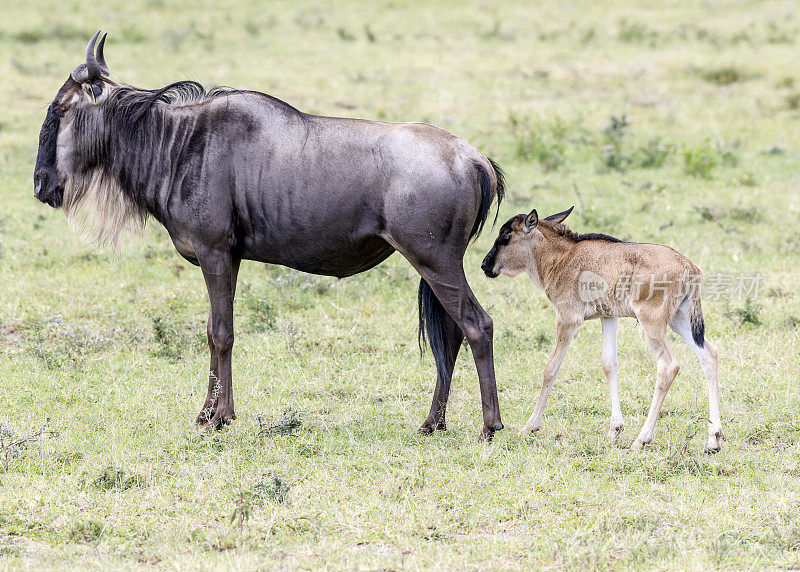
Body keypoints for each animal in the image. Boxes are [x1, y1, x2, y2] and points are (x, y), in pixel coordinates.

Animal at [482, 206, 724, 452]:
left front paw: (530, 426)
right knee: (709, 354)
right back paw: (713, 438)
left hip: (652, 322)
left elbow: (551, 367)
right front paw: (615, 429)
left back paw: (642, 438)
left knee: (668, 366)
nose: (485, 265)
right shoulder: (609, 317)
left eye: (505, 237)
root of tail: (688, 266)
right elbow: (609, 364)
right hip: (680, 320)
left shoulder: (568, 319)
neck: (562, 257)